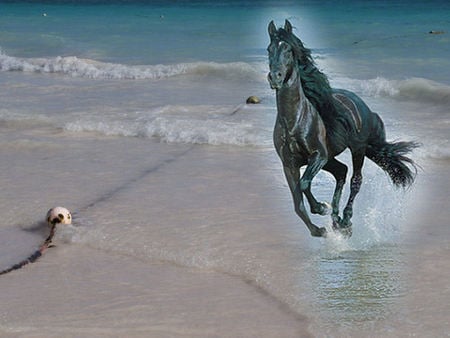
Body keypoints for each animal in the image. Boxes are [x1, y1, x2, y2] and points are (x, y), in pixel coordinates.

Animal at [268, 19, 418, 238]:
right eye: (269, 49)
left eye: (288, 49)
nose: (275, 77)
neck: (294, 122)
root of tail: (362, 105)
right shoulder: (289, 164)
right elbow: (298, 204)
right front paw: (319, 229)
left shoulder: (318, 156)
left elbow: (304, 184)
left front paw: (321, 208)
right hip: (331, 158)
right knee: (341, 172)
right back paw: (336, 221)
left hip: (356, 149)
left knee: (356, 179)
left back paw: (345, 220)